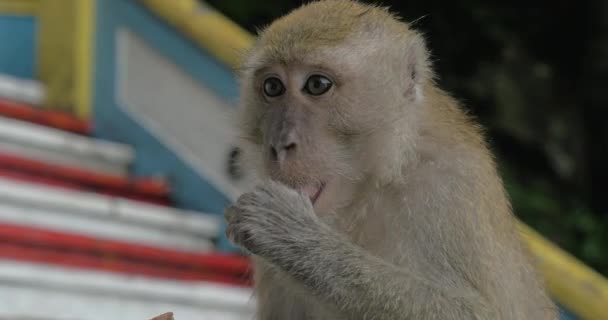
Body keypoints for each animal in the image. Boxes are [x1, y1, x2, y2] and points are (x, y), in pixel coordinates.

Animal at [223, 1, 556, 318]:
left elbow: (476, 312)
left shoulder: (450, 185)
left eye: (317, 84)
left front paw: (291, 236)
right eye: (273, 87)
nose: (279, 145)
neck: (381, 178)